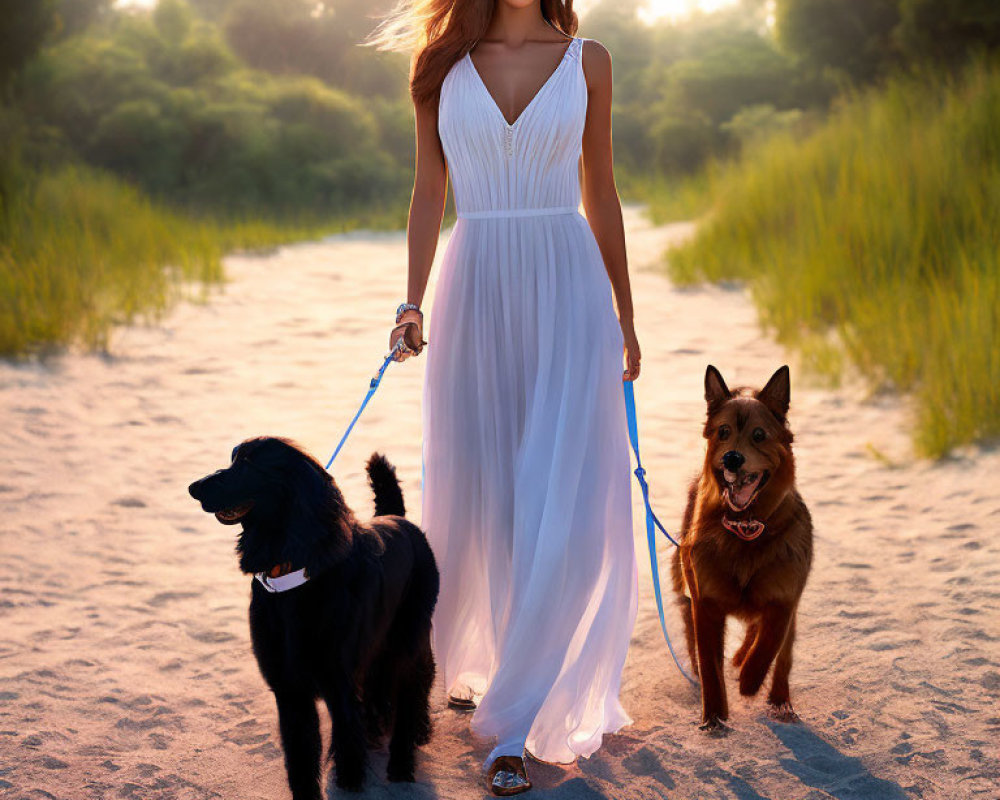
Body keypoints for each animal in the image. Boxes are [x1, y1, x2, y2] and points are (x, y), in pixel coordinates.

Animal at [188, 434, 438, 796]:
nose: (193, 487)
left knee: (411, 690)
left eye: (248, 463)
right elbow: (301, 758)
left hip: (406, 641)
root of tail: (396, 517)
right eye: (233, 458)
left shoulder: (339, 686)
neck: (290, 577)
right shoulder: (289, 690)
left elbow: (348, 759)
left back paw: (403, 760)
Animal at [672, 366, 812, 728]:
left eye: (759, 435)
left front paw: (749, 681)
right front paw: (714, 719)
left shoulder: (783, 600)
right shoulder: (705, 603)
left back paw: (779, 701)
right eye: (724, 432)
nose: (732, 458)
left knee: (781, 654)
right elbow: (710, 666)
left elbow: (768, 645)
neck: (745, 529)